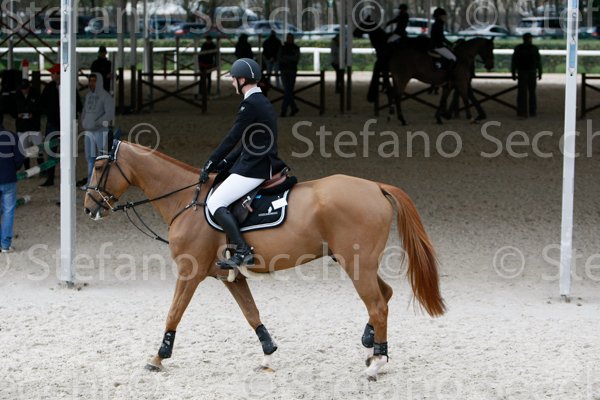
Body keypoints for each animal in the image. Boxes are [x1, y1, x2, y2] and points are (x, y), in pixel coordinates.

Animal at [83, 141, 445, 381]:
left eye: (99, 167)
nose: (88, 207)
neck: (187, 199)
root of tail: (375, 187)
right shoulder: (228, 275)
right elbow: (251, 312)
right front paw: (269, 352)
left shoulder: (189, 272)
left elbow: (174, 313)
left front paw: (158, 357)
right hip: (360, 264)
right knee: (384, 295)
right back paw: (371, 347)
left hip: (358, 265)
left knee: (378, 304)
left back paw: (378, 363)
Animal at [354, 21, 494, 125]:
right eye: (490, 49)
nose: (490, 65)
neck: (462, 57)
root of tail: (394, 55)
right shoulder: (461, 81)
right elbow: (465, 97)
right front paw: (471, 118)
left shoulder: (449, 84)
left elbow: (443, 100)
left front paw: (439, 117)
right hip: (403, 78)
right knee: (397, 95)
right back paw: (402, 119)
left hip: (396, 78)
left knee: (393, 94)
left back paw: (392, 116)